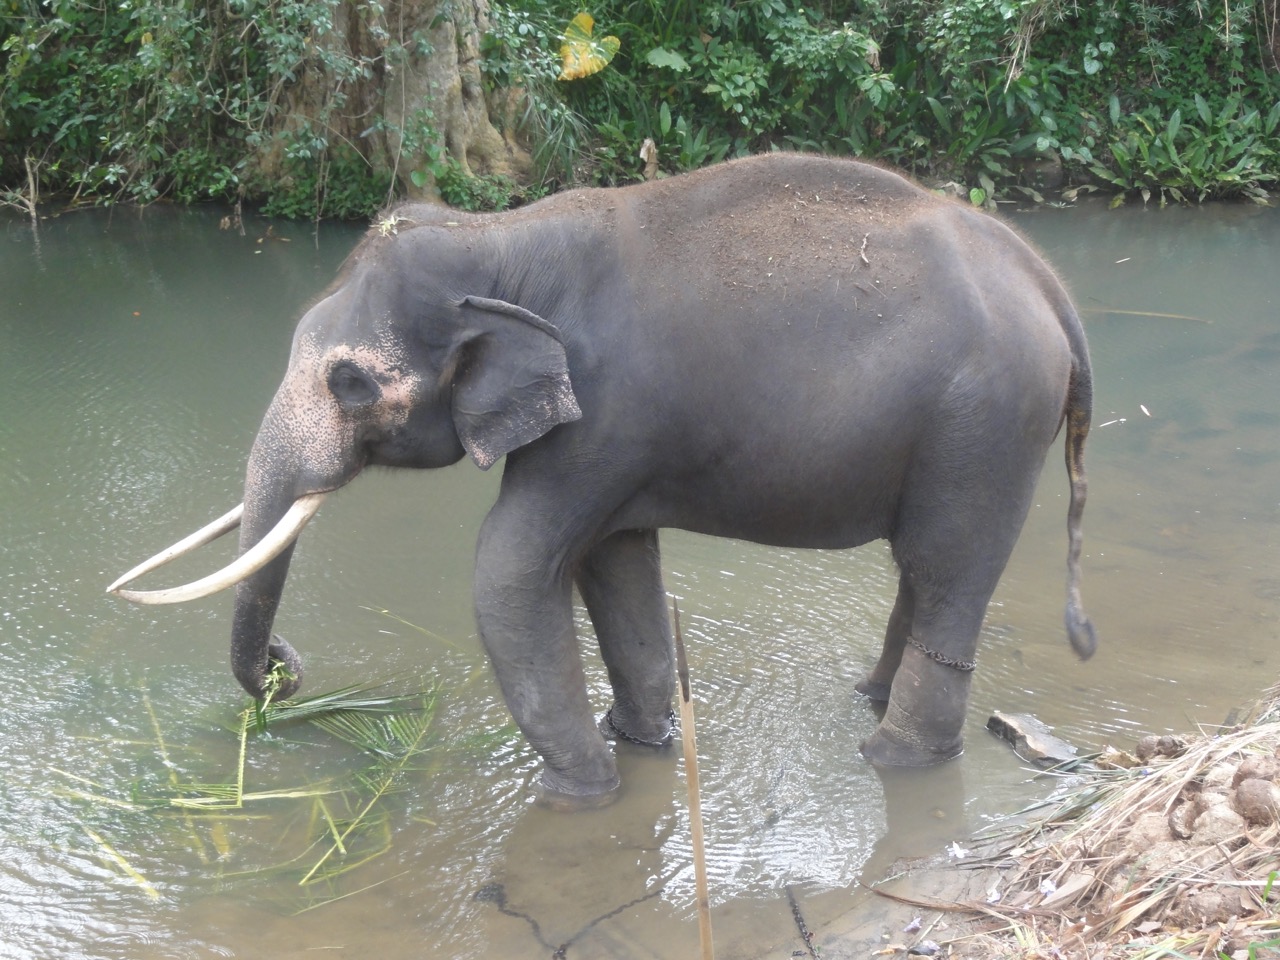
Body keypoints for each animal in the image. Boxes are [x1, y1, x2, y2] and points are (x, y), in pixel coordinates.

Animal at [109, 153, 1096, 802]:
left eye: (349, 382)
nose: (286, 667)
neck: (500, 240)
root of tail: (1051, 285)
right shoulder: (615, 446)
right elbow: (612, 562)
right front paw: (644, 742)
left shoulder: (604, 415)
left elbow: (510, 566)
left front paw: (581, 793)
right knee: (920, 571)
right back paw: (869, 699)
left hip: (985, 428)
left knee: (948, 571)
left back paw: (891, 758)